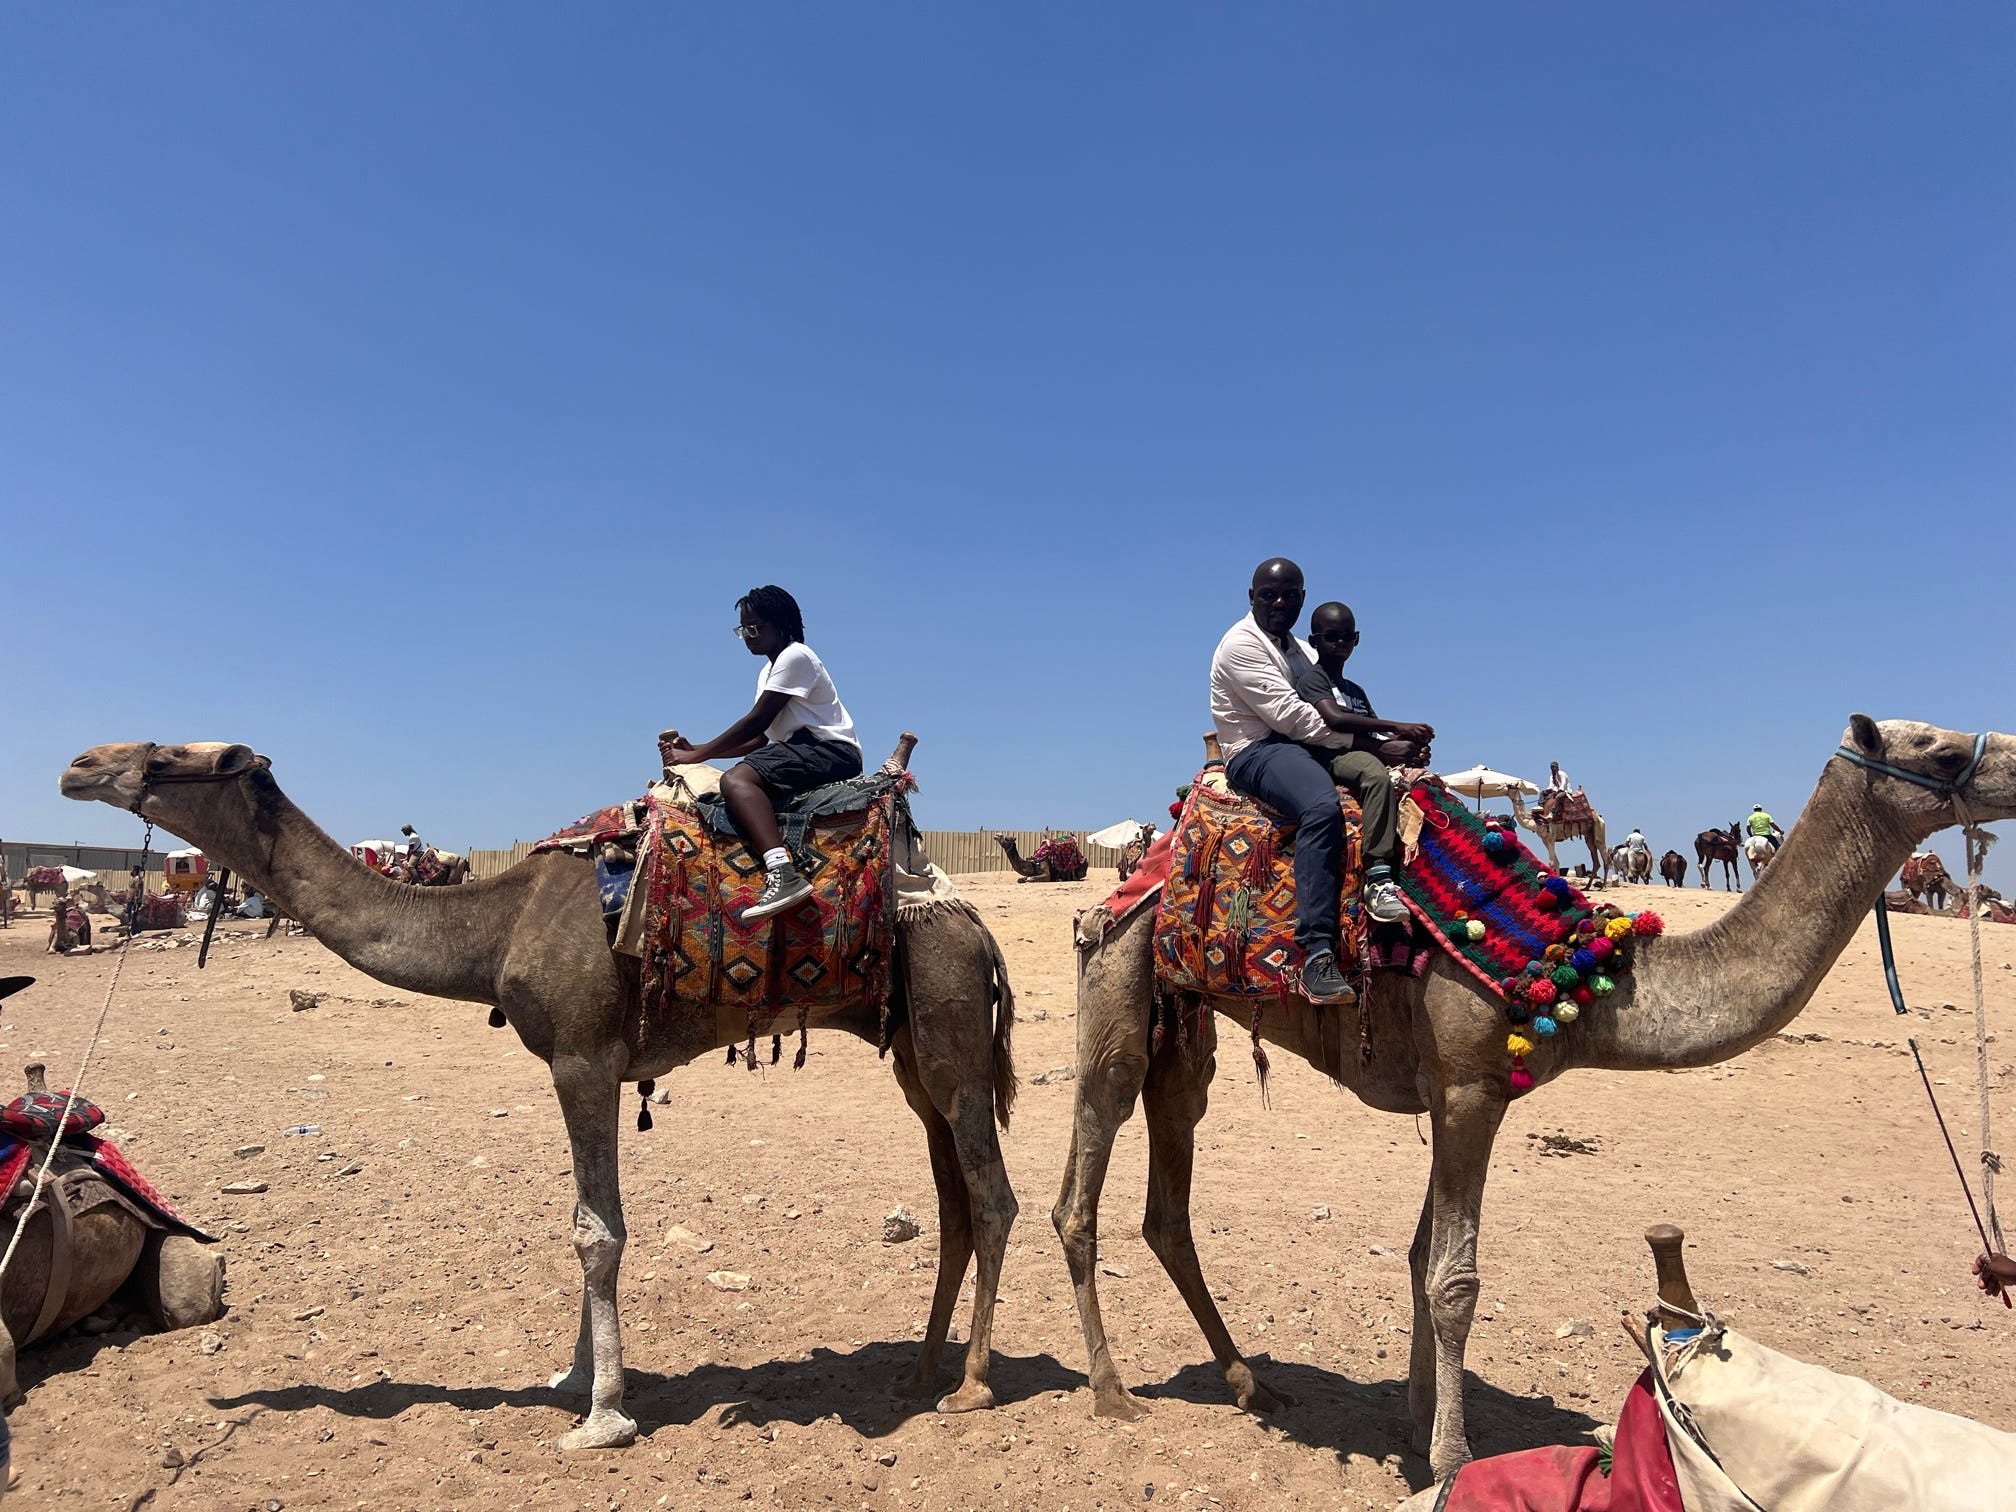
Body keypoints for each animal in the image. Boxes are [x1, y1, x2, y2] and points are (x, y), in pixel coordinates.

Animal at [61, 738, 1021, 1450]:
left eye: (164, 752)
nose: (77, 764)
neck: (495, 926)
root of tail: (974, 924)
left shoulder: (583, 1057)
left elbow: (598, 1231)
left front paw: (603, 1416)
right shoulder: (579, 1063)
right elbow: (582, 1220)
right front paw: (576, 1376)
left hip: (948, 1024)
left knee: (993, 1196)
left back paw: (971, 1387)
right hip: (915, 1053)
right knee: (953, 1197)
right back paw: (920, 1372)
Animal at [1051, 717, 2012, 1479]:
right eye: (1943, 748)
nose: (2010, 762)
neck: (1585, 977)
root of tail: (1149, 855)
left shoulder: (1456, 1094)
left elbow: (1420, 1256)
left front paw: (1415, 1420)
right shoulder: (1472, 1088)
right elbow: (1455, 1277)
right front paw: (1450, 1458)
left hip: (1186, 1026)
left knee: (1170, 1199)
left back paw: (1254, 1385)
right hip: (1117, 972)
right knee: (1084, 1176)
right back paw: (1111, 1392)